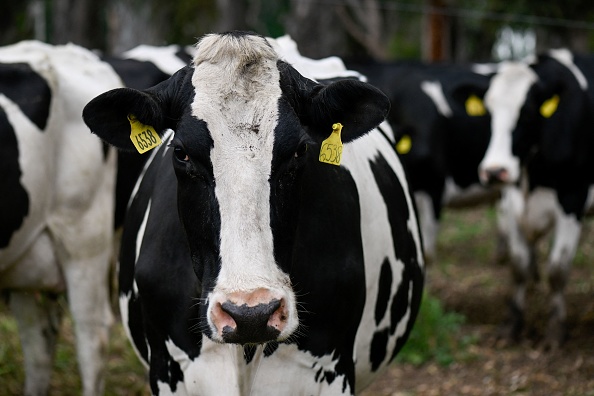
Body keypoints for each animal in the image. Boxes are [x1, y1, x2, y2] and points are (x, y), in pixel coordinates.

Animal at [476, 49, 592, 350]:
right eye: (489, 112)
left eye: (527, 113)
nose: (494, 171)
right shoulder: (509, 201)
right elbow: (518, 265)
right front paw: (512, 326)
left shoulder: (573, 199)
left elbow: (558, 270)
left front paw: (555, 332)